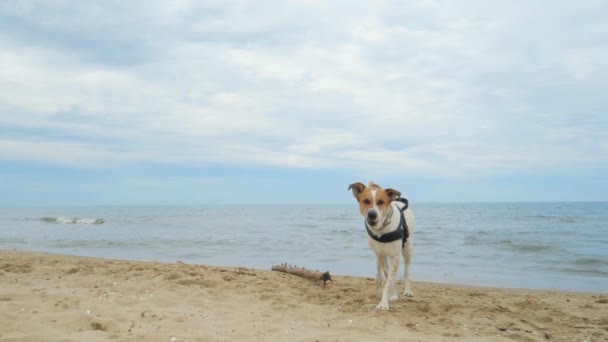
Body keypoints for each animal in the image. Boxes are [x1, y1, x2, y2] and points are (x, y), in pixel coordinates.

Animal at [350, 182, 416, 310]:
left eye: (381, 202)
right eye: (366, 201)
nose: (372, 214)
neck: (382, 230)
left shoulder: (395, 256)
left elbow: (390, 279)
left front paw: (383, 303)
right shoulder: (381, 253)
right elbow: (387, 276)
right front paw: (392, 294)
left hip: (408, 247)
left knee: (407, 269)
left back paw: (407, 290)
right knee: (379, 264)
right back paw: (379, 280)